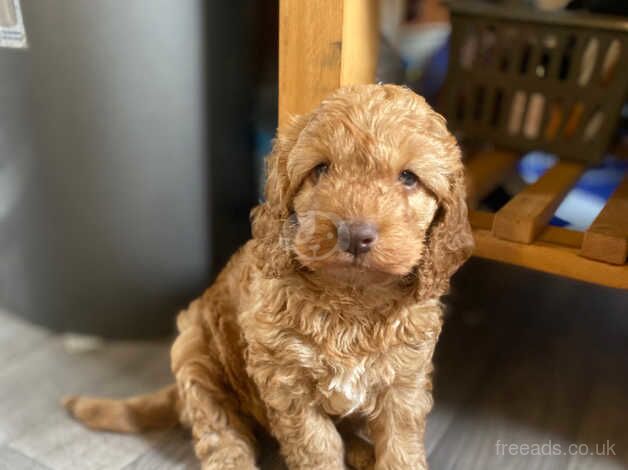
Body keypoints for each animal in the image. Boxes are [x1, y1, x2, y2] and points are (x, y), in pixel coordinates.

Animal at [66, 85, 474, 470]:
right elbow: (317, 446)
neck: (352, 300)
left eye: (408, 178)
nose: (354, 234)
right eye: (321, 169)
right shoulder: (288, 382)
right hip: (195, 356)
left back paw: (361, 450)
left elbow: (400, 445)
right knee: (219, 430)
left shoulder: (404, 381)